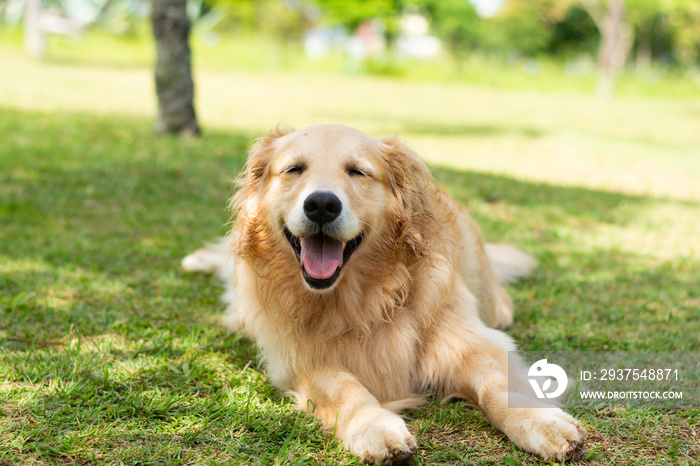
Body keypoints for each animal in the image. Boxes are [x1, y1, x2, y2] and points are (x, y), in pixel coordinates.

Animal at [182, 124, 584, 462]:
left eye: (358, 172)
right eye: (294, 169)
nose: (322, 204)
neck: (366, 297)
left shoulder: (465, 340)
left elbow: (496, 384)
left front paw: (539, 420)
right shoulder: (299, 358)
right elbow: (346, 388)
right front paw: (372, 425)